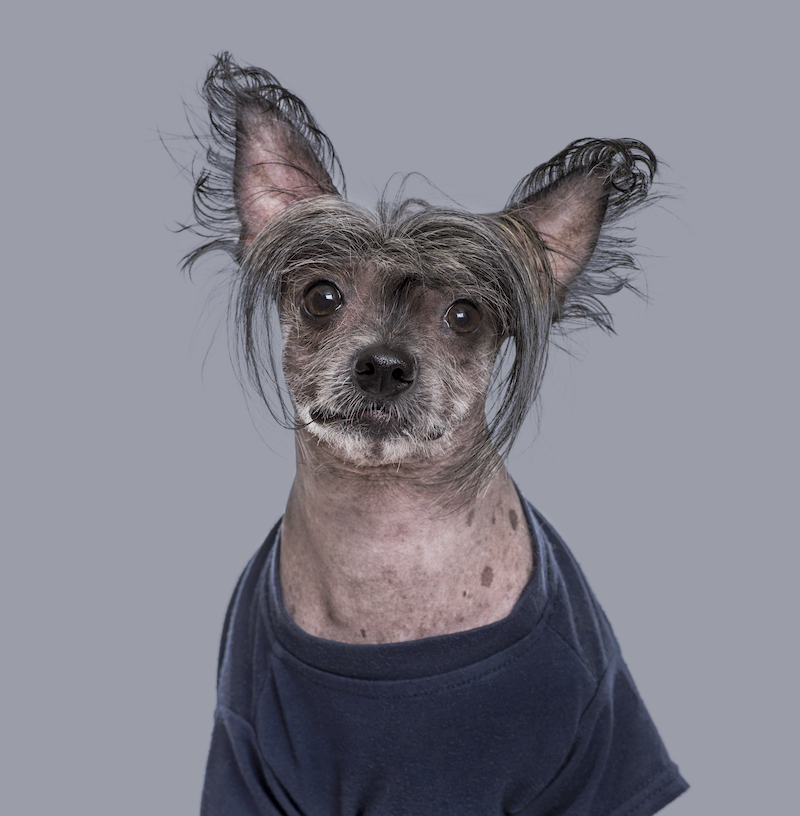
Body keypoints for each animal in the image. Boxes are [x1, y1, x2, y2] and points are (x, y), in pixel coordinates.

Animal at [183, 52, 688, 816]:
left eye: (464, 315)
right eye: (322, 296)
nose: (384, 366)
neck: (389, 546)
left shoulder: (589, 751)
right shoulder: (249, 756)